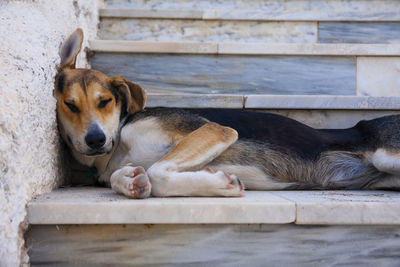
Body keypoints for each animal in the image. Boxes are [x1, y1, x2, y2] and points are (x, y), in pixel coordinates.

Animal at [55, 28, 400, 199]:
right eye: (70, 105)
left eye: (105, 101)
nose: (96, 140)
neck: (119, 140)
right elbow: (128, 176)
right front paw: (130, 181)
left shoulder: (216, 130)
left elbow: (158, 171)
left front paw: (222, 184)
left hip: (388, 155)